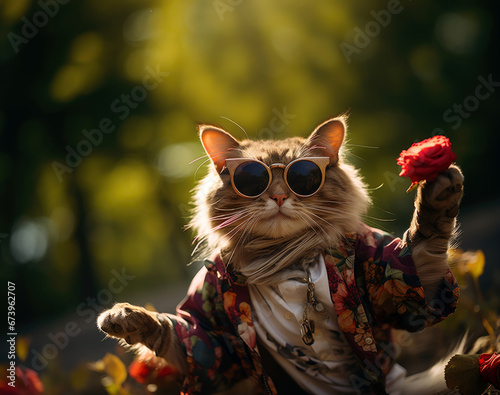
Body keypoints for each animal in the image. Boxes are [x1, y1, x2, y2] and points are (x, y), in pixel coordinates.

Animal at [97, 116, 464, 394]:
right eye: (251, 179)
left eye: (303, 177)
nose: (277, 196)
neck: (285, 263)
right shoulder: (214, 343)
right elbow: (175, 335)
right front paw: (125, 318)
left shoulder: (398, 285)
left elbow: (424, 243)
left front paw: (438, 191)